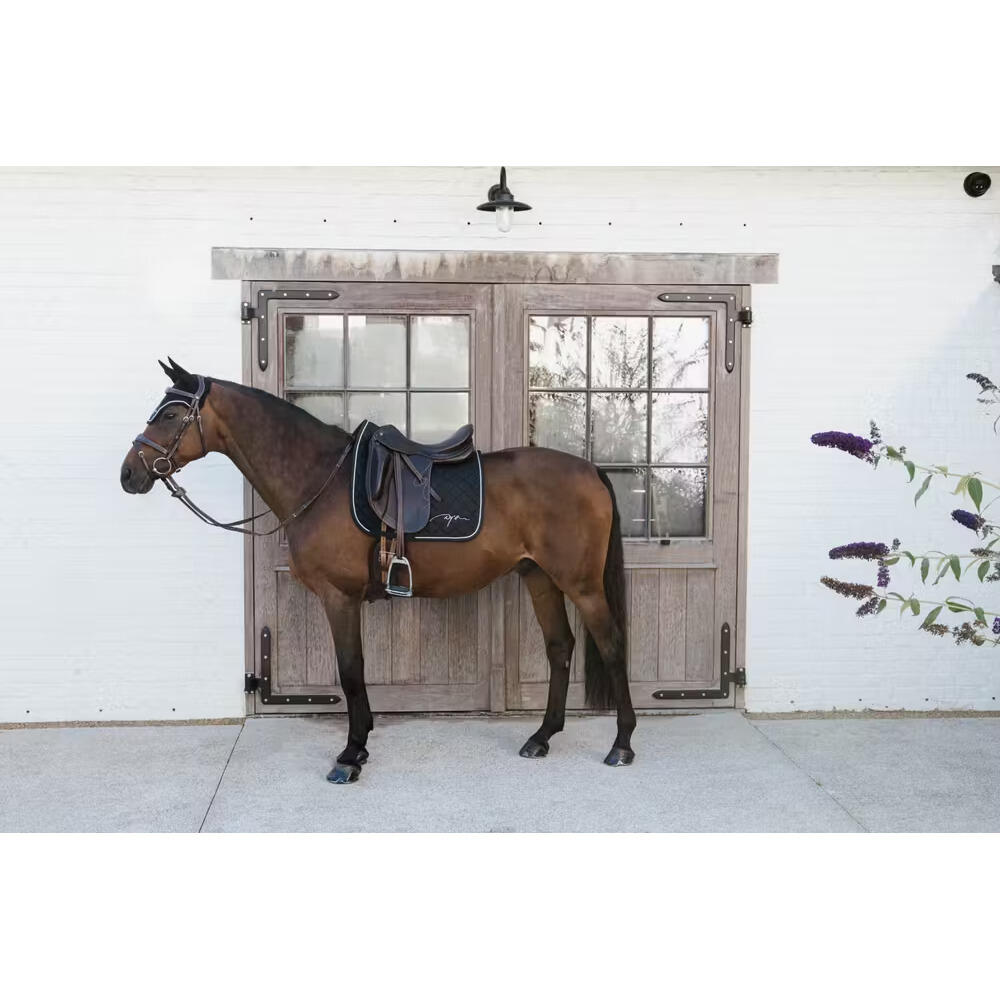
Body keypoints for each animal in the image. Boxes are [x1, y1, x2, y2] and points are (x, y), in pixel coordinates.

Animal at [120, 358, 636, 783]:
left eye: (169, 415)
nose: (129, 474)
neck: (319, 480)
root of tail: (591, 470)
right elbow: (354, 672)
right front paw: (361, 745)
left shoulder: (339, 597)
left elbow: (351, 671)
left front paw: (350, 755)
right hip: (539, 577)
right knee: (560, 648)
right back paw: (541, 737)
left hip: (582, 585)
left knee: (612, 646)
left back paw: (622, 745)